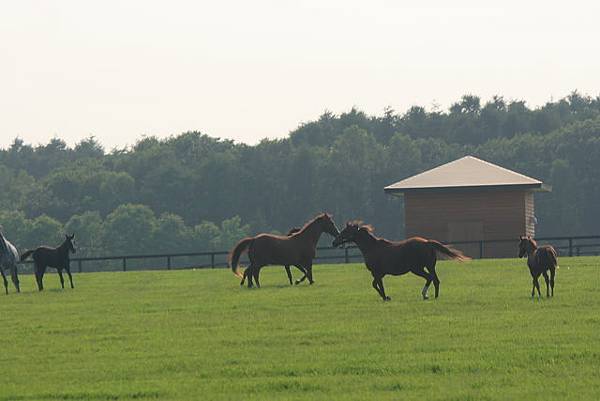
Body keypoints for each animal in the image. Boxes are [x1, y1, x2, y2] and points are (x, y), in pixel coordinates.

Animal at [332, 222, 468, 300]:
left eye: (345, 231)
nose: (334, 242)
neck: (372, 247)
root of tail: (427, 242)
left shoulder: (377, 273)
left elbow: (376, 285)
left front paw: (385, 297)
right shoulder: (380, 274)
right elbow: (376, 284)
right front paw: (386, 297)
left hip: (417, 269)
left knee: (429, 278)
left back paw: (425, 295)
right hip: (430, 267)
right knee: (436, 280)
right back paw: (435, 296)